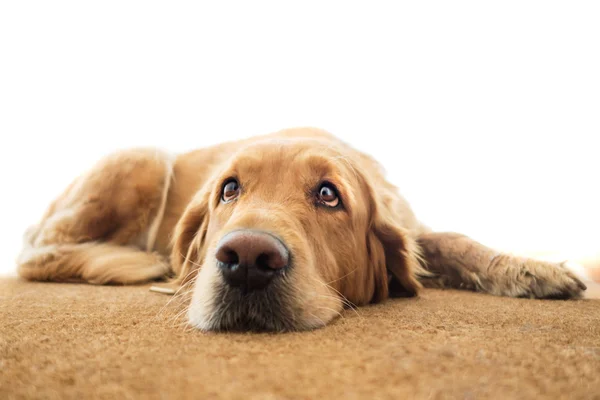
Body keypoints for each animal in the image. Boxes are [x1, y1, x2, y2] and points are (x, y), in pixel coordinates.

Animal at [17, 127, 584, 332]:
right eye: (229, 189)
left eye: (329, 195)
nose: (246, 259)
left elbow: (455, 241)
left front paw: (531, 269)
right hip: (145, 156)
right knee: (38, 253)